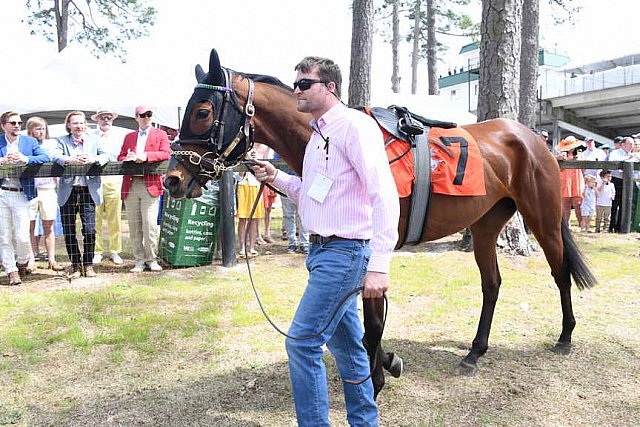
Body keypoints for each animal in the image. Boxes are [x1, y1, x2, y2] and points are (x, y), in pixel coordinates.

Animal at [162, 49, 596, 398]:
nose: (172, 179)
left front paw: (376, 380)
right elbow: (359, 323)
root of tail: (532, 137)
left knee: (559, 272)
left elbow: (371, 323)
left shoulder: (373, 249)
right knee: (492, 284)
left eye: (203, 112)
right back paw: (474, 352)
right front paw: (386, 361)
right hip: (486, 224)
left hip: (542, 216)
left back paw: (565, 336)